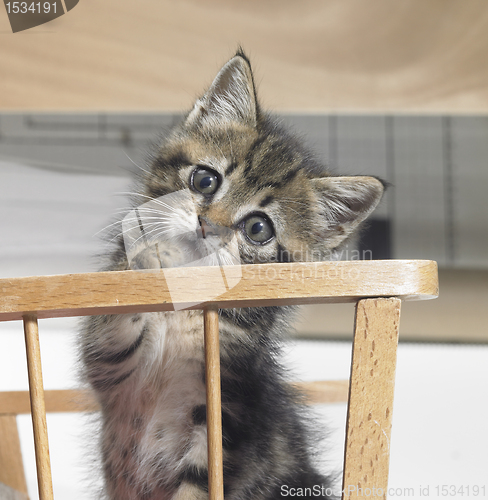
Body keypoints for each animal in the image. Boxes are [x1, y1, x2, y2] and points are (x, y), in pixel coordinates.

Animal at [81, 48, 386, 498]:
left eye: (258, 229)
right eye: (205, 180)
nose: (207, 225)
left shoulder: (228, 419)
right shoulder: (110, 366)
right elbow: (115, 323)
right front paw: (149, 256)